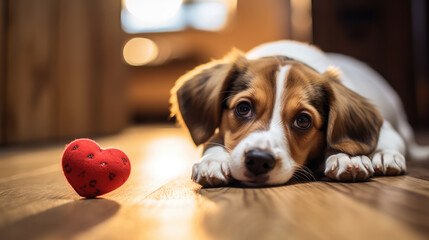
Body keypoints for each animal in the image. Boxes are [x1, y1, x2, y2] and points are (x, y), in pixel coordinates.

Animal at [169, 40, 426, 187]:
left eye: (303, 120)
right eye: (243, 108)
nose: (258, 160)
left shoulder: (386, 129)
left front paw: (347, 156)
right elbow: (212, 140)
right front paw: (213, 160)